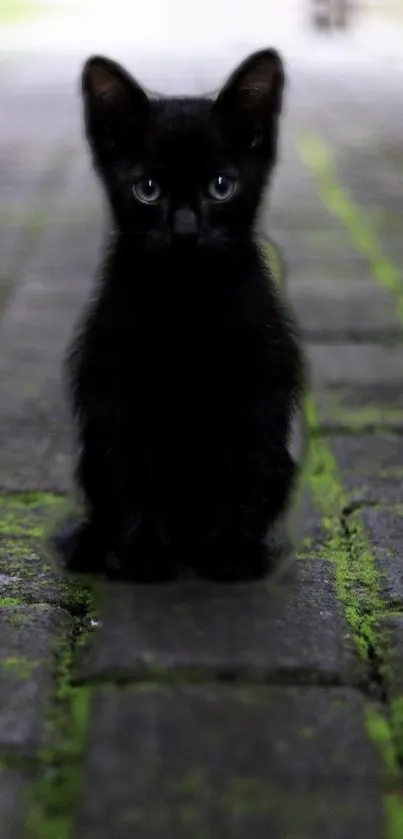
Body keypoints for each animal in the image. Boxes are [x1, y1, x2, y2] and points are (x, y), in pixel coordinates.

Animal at [54, 49, 306, 580]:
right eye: (148, 189)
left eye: (221, 186)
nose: (186, 231)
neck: (187, 300)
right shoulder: (116, 386)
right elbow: (132, 473)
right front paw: (145, 554)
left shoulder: (259, 382)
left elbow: (244, 469)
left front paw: (231, 552)